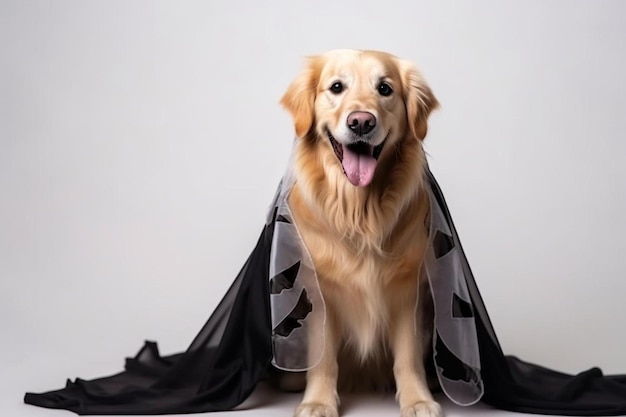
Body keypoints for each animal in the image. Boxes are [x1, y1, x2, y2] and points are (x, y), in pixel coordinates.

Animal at [280, 50, 442, 416]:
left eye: (384, 89)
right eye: (336, 87)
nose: (361, 122)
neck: (360, 212)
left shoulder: (407, 290)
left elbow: (408, 356)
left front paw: (418, 399)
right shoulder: (320, 293)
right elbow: (323, 357)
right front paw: (318, 402)